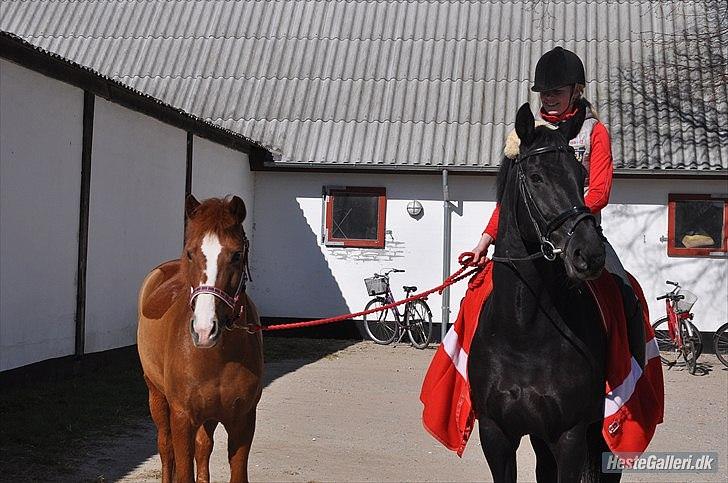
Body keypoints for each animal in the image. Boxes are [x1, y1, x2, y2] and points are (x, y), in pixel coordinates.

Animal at [138, 196, 264, 483]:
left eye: (237, 255)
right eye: (190, 252)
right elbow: (182, 468)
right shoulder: (183, 418)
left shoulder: (243, 421)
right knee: (165, 447)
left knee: (203, 447)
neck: (217, 357)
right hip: (156, 395)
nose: (205, 330)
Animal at [466, 104, 620, 482]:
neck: (524, 334)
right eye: (536, 177)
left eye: (580, 175)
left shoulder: (570, 436)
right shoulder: (496, 433)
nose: (588, 254)